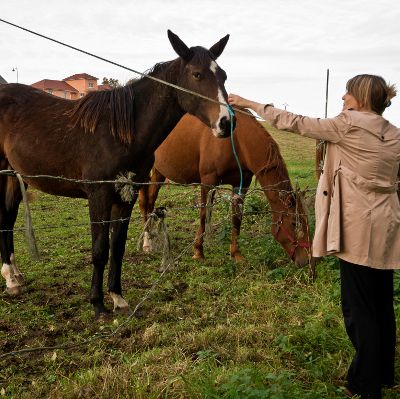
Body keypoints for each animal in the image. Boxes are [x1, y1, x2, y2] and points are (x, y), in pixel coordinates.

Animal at [0, 30, 234, 318]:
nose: (227, 122)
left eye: (223, 75)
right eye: (197, 74)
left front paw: (117, 297)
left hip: (13, 176)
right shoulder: (98, 194)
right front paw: (98, 304)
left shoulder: (126, 196)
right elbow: (100, 249)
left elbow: (117, 247)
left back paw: (15, 276)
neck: (119, 133)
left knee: (7, 220)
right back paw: (10, 278)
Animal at [140, 111, 312, 268]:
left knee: (150, 200)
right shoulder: (208, 182)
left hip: (159, 171)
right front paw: (198, 251)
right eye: (294, 223)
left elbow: (237, 219)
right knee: (144, 202)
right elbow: (204, 215)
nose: (306, 260)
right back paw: (147, 242)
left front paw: (236, 254)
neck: (236, 141)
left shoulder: (241, 184)